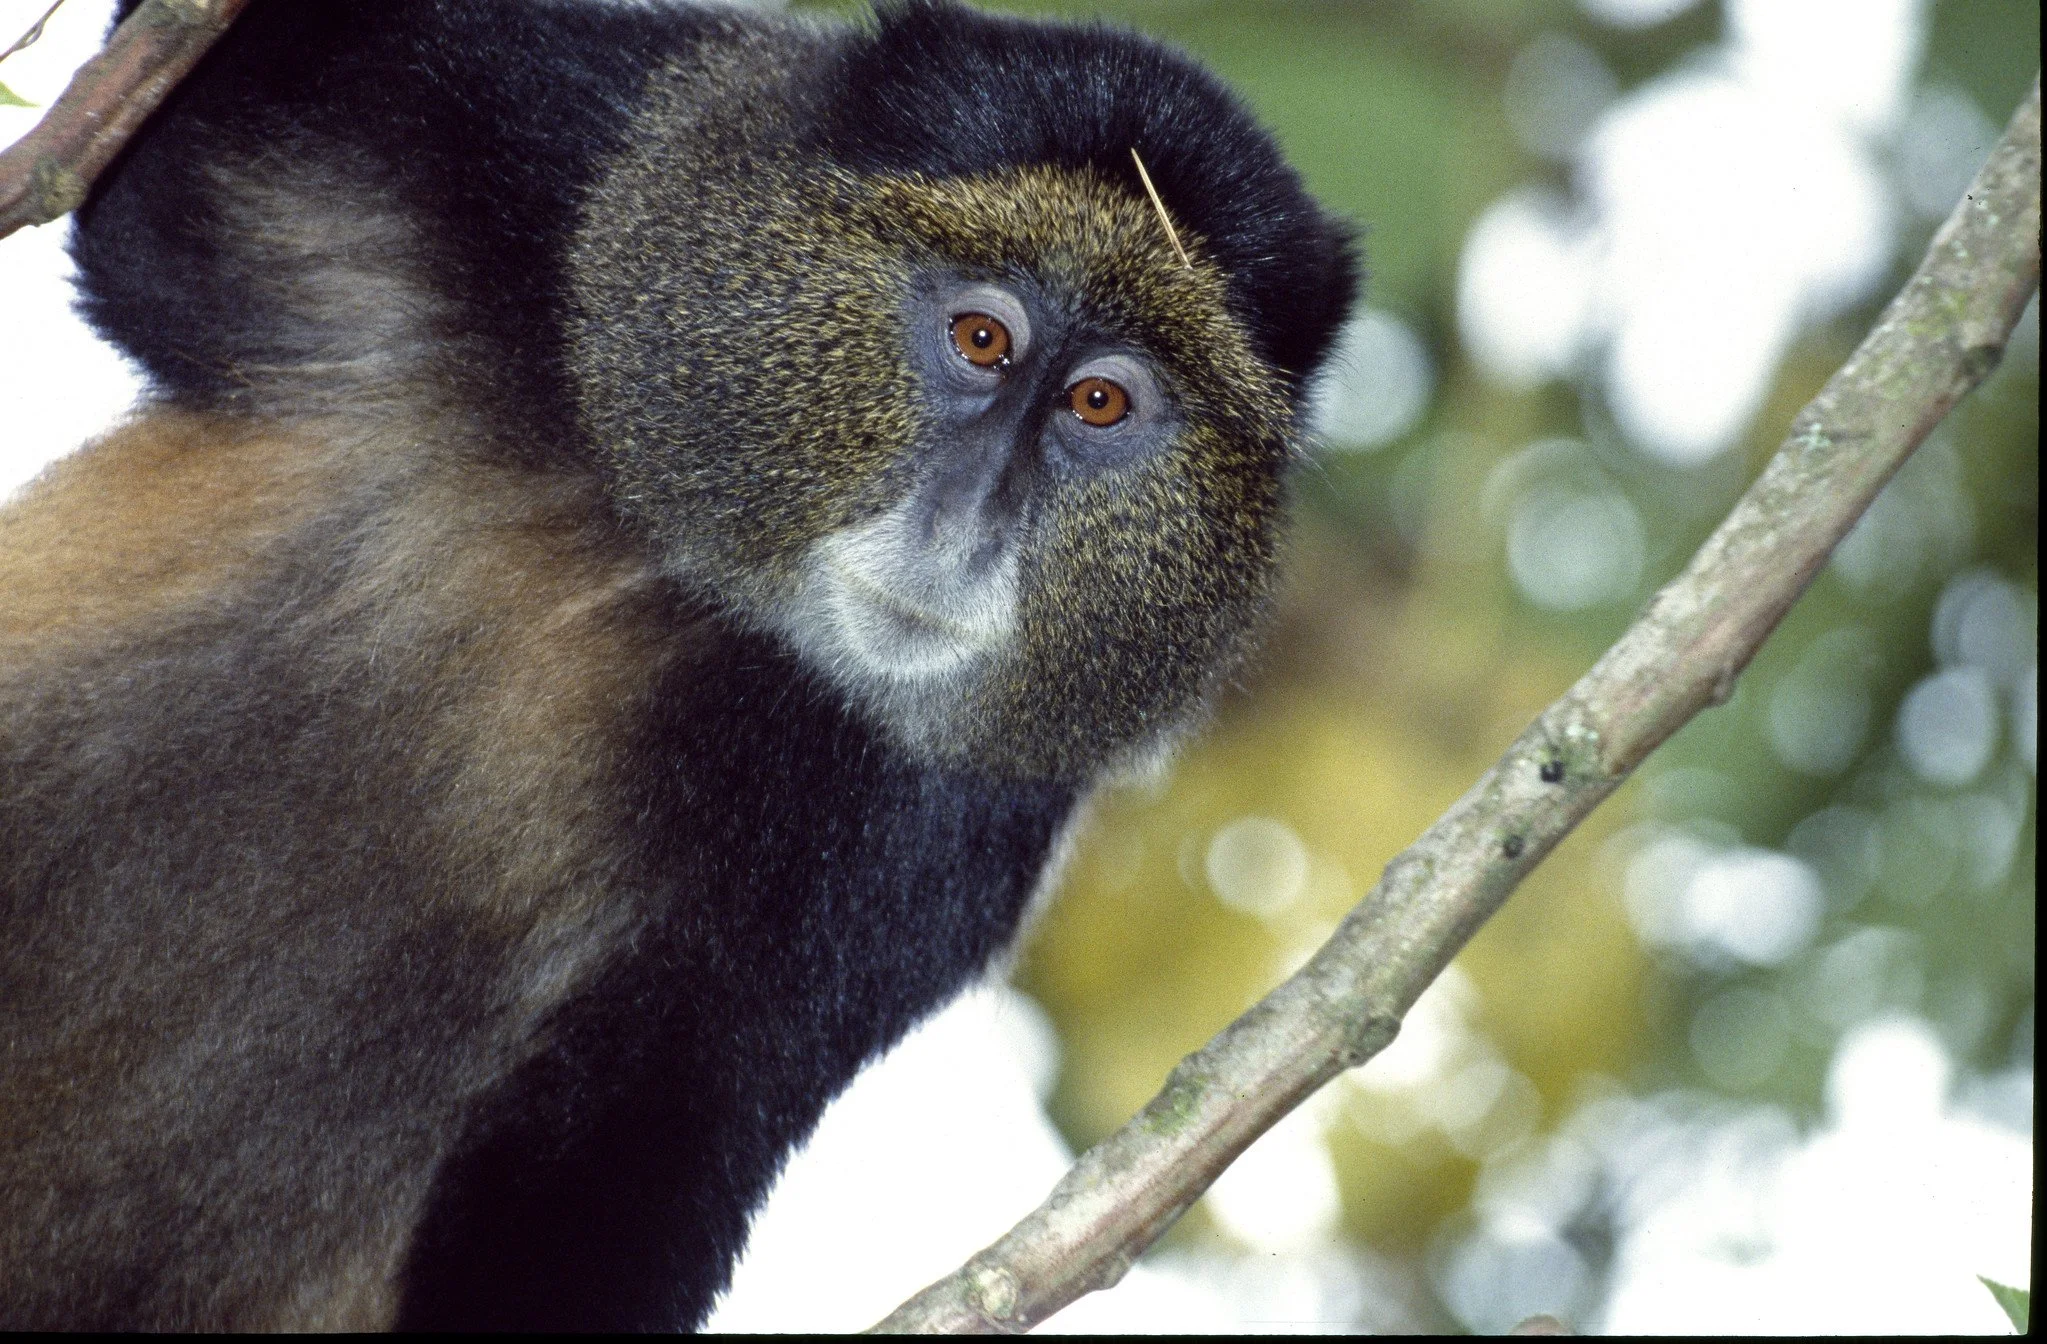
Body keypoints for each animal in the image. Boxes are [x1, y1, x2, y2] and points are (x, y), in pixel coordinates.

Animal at [0, 0, 1357, 1330]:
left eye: (1098, 406)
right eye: (981, 336)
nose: (969, 521)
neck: (701, 591)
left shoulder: (946, 831)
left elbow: (666, 1107)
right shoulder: (533, 141)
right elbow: (143, 212)